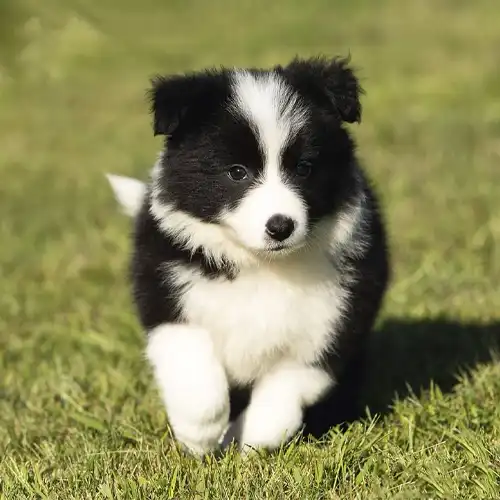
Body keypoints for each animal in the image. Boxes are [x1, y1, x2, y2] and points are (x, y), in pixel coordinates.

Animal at [107, 55, 390, 458]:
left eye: (304, 168)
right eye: (237, 172)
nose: (280, 226)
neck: (262, 265)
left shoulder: (338, 316)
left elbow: (289, 385)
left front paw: (248, 439)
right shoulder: (165, 290)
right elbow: (192, 362)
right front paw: (200, 435)